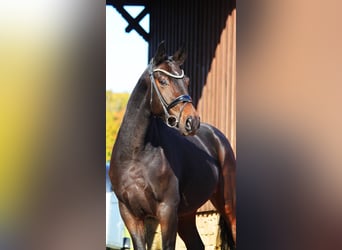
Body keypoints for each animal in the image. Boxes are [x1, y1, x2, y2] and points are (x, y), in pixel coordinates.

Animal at [109, 42, 235, 249]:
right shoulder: (130, 214)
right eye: (162, 80)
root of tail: (219, 138)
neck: (135, 155)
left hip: (227, 204)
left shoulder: (167, 211)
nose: (192, 121)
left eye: (187, 81)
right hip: (186, 215)